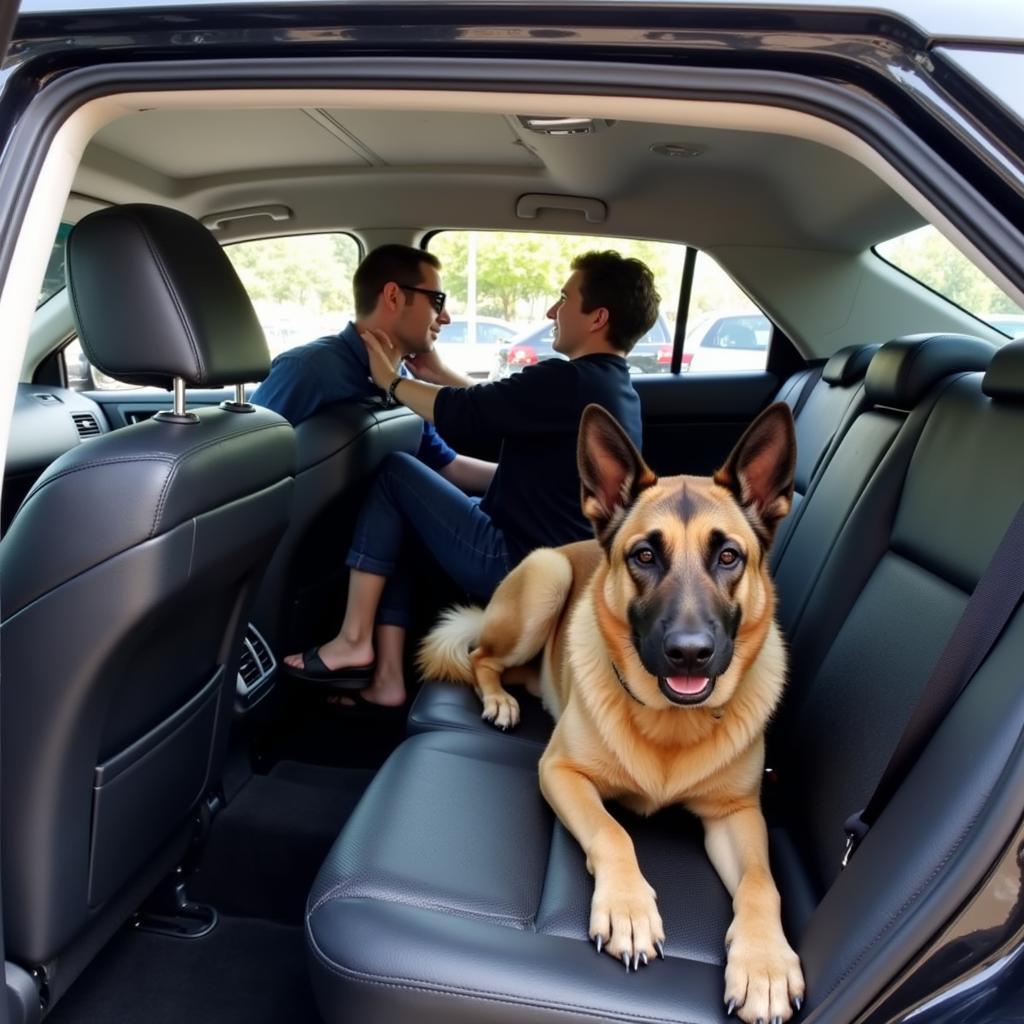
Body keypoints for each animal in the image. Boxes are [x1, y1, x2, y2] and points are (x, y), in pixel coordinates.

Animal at [419, 403, 802, 1019]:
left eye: (728, 557)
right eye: (644, 555)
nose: (689, 652)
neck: (670, 722)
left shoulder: (737, 815)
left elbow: (762, 883)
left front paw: (764, 962)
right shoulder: (560, 773)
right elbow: (612, 831)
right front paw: (627, 907)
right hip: (547, 582)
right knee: (480, 656)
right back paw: (500, 698)